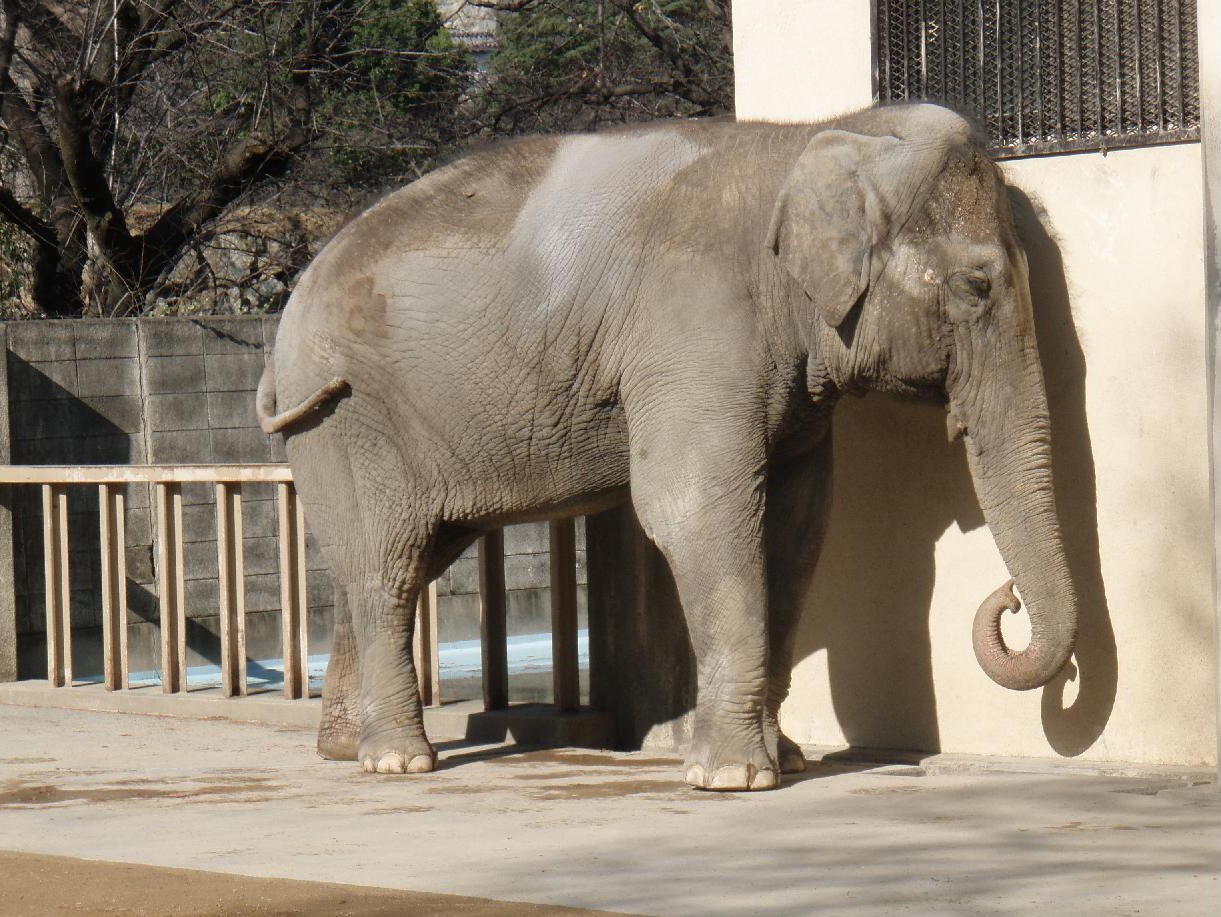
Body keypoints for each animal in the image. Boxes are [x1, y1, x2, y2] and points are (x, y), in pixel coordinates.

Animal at [260, 98, 1079, 791]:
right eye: (976, 287)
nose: (1006, 598)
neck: (814, 137)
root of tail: (288, 316)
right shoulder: (695, 324)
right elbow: (697, 511)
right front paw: (735, 778)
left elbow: (798, 525)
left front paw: (781, 758)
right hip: (344, 415)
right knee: (388, 565)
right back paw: (399, 763)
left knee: (393, 560)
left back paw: (344, 748)